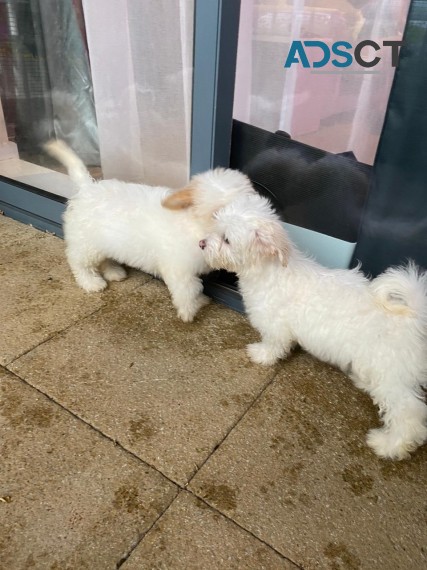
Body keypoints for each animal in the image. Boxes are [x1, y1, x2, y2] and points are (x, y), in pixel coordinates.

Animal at [45, 140, 256, 322]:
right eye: (218, 213)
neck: (194, 224)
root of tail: (87, 188)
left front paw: (200, 302)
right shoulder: (179, 269)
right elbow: (188, 290)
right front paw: (189, 310)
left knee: (104, 259)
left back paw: (113, 272)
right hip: (86, 244)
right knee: (79, 262)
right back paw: (91, 282)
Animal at [201, 193, 427, 460]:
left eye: (226, 239)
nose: (201, 243)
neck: (271, 271)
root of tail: (414, 315)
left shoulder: (275, 325)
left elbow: (273, 344)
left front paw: (262, 355)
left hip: (391, 373)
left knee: (409, 414)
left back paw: (390, 445)